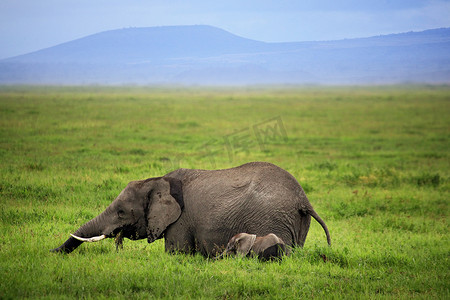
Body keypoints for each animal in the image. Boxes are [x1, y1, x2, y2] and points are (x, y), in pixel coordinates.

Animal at [51, 162, 330, 255]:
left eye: (121, 212)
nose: (49, 252)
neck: (158, 180)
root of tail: (304, 200)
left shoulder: (180, 221)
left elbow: (177, 253)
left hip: (272, 218)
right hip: (295, 222)